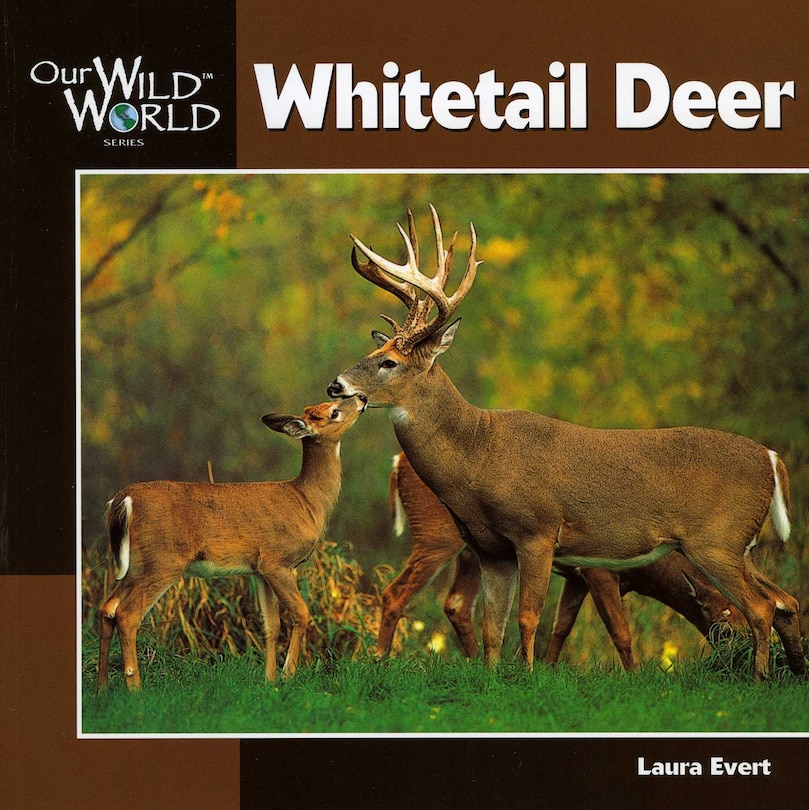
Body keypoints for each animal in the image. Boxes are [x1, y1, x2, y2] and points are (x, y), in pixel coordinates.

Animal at [96, 395, 366, 692]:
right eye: (334, 411)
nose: (362, 398)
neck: (308, 499)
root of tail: (123, 500)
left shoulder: (259, 570)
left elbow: (270, 625)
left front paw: (269, 680)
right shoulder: (278, 561)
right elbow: (301, 613)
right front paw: (287, 675)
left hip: (136, 566)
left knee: (107, 608)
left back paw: (102, 687)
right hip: (163, 561)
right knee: (127, 614)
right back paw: (135, 688)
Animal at [382, 452, 742, 668]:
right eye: (727, 629)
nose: (738, 659)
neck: (645, 573)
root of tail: (397, 463)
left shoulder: (575, 576)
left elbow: (561, 627)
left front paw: (548, 669)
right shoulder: (598, 571)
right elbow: (620, 631)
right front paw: (636, 676)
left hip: (474, 550)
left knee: (457, 603)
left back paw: (477, 663)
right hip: (436, 534)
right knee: (395, 592)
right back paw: (380, 661)